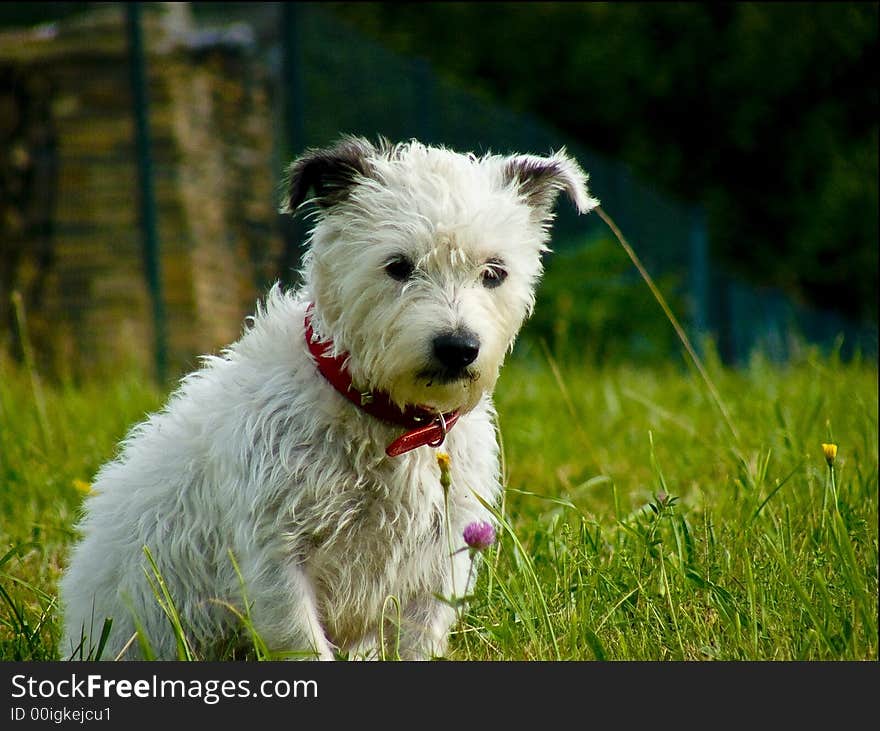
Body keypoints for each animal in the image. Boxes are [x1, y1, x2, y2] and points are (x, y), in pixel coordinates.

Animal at [60, 134, 600, 660]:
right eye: (398, 266)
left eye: (494, 272)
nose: (458, 348)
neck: (385, 424)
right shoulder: (277, 560)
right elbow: (303, 642)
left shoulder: (440, 562)